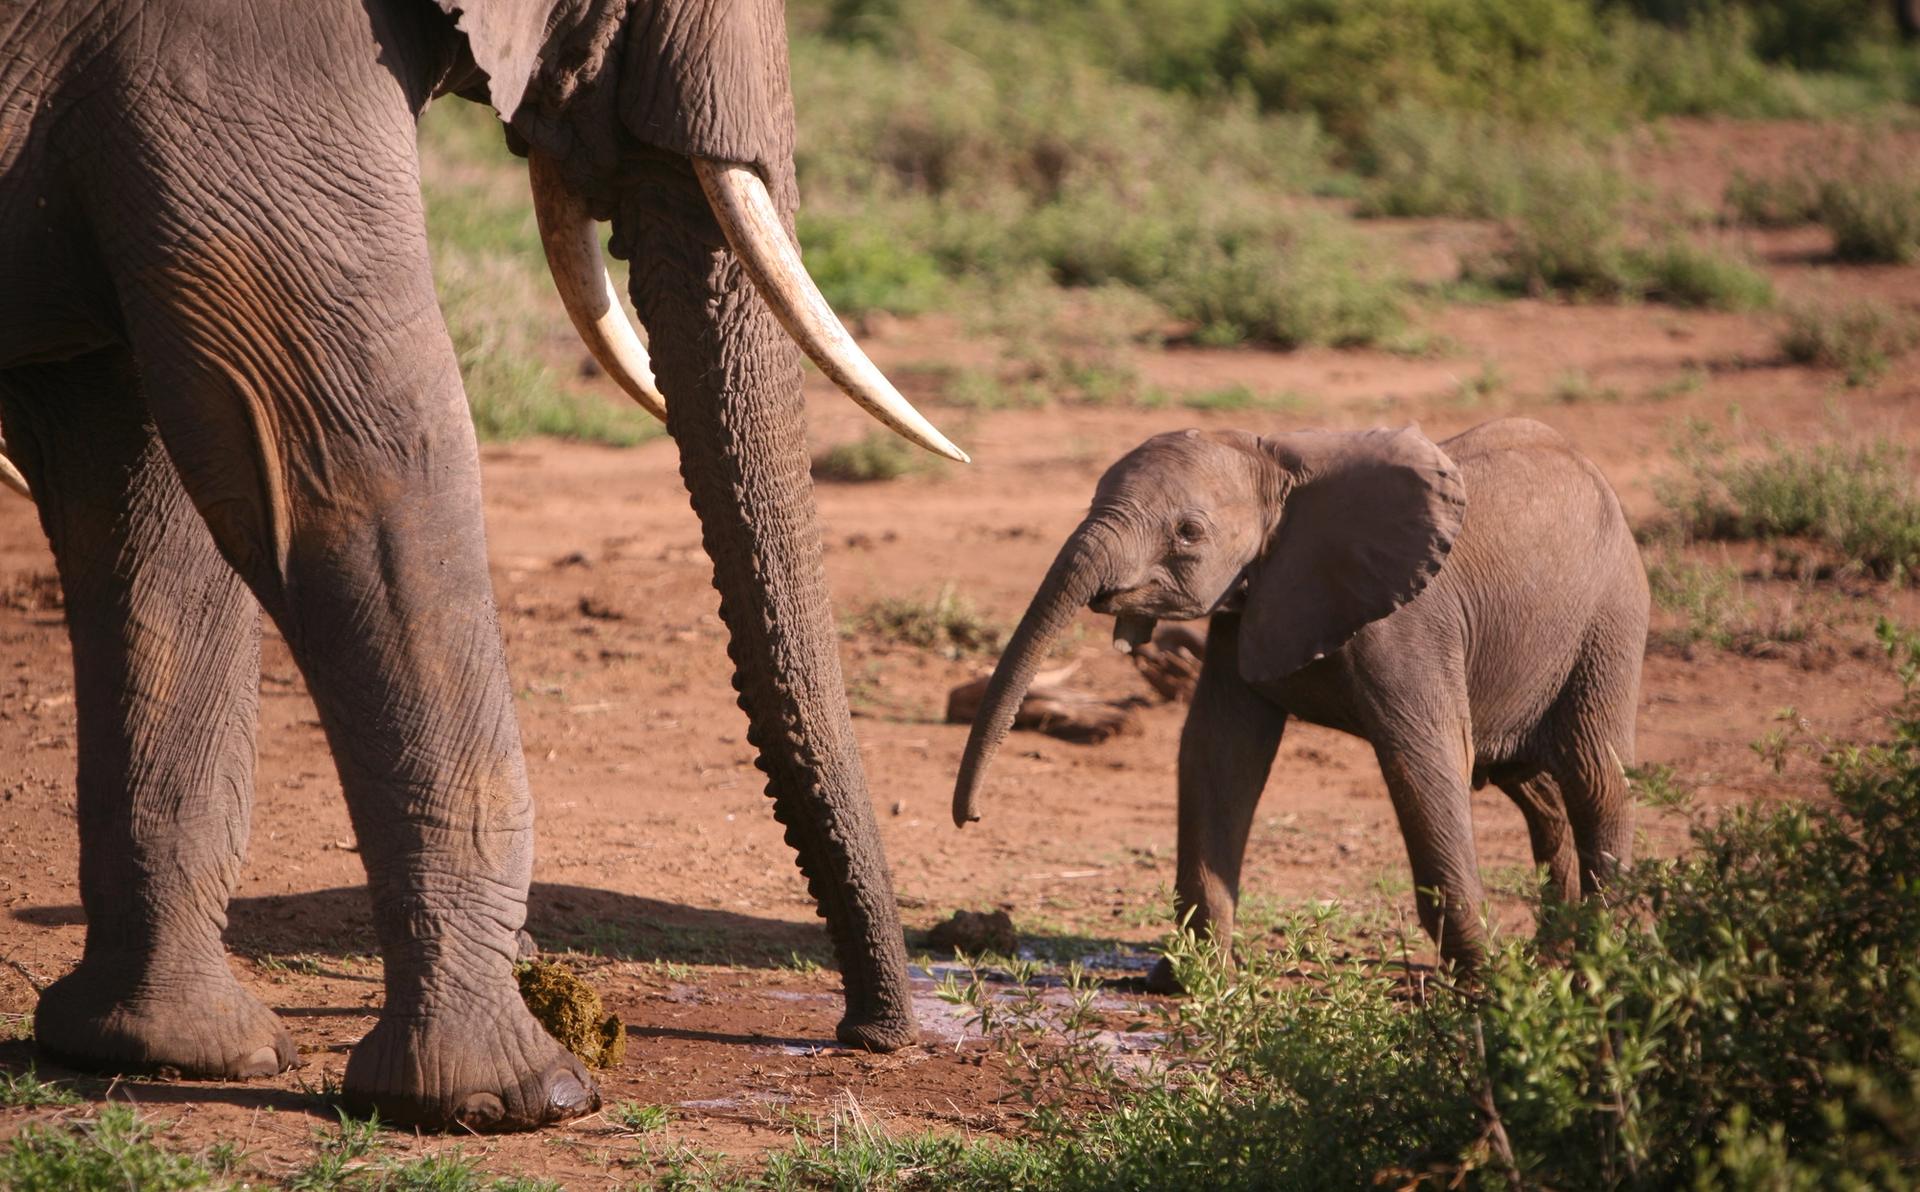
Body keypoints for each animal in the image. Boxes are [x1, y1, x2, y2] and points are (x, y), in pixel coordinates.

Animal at [1, 0, 966, 1131]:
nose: (873, 1035)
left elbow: (145, 494)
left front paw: (170, 1051)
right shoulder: (227, 69)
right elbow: (365, 458)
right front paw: (518, 1097)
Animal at [953, 418, 1649, 984]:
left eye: (1188, 532)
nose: (972, 818)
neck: (1277, 463)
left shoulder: (1409, 623)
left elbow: (1423, 758)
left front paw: (1486, 982)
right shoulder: (1246, 602)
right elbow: (1219, 751)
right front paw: (1190, 981)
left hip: (1611, 616)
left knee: (1593, 778)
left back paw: (1597, 964)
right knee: (1531, 786)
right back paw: (1552, 958)